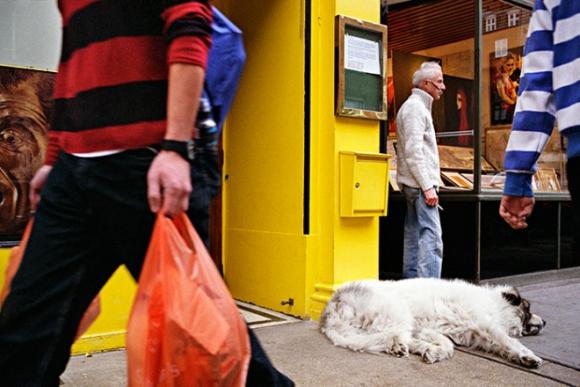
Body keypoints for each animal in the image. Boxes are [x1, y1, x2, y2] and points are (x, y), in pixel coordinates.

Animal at [320, 280, 548, 368]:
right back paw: (399, 348)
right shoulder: (486, 326)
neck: (494, 306)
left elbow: (449, 345)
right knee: (394, 336)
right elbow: (512, 342)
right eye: (528, 309)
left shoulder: (431, 329)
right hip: (398, 312)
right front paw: (530, 357)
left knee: (400, 339)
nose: (545, 321)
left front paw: (435, 351)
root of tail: (333, 304)